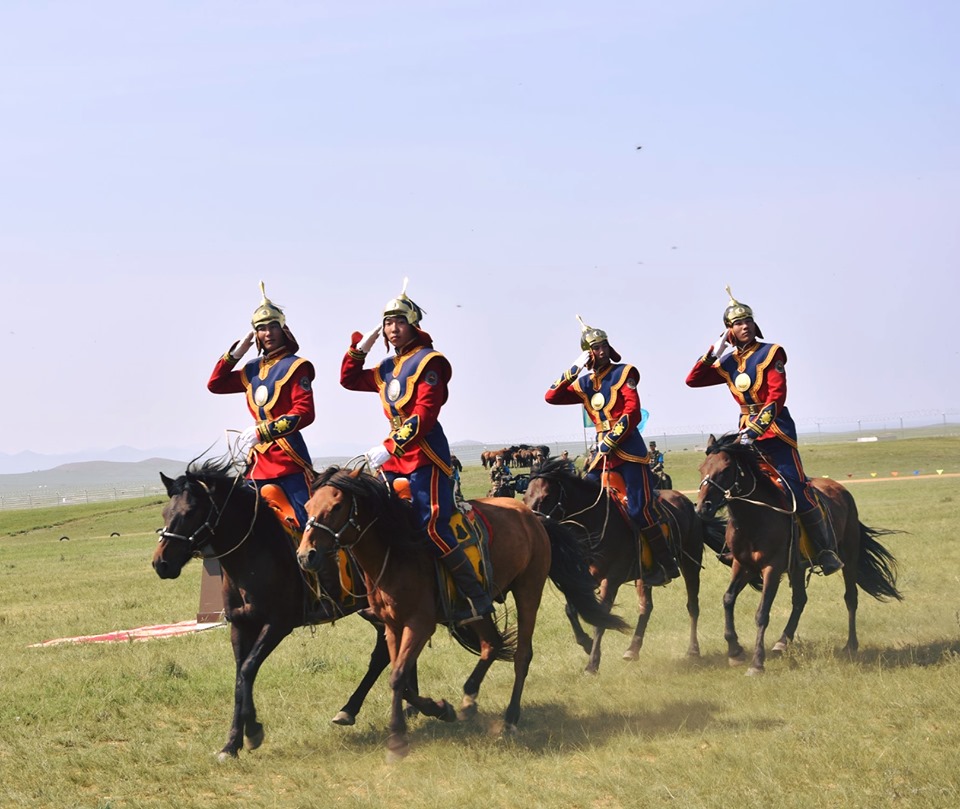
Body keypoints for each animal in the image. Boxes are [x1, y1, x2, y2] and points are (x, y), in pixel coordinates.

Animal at [152, 460, 400, 756]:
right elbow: (240, 678)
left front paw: (253, 731)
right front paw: (232, 743)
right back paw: (365, 709)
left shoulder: (278, 625)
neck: (254, 553)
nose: (161, 563)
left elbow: (248, 670)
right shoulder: (240, 625)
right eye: (165, 512)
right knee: (386, 649)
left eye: (190, 512)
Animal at [300, 464, 632, 760]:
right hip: (478, 606)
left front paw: (397, 740)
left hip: (528, 589)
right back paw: (469, 698)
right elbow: (401, 680)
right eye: (307, 505)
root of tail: (533, 517)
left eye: (337, 506)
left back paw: (510, 718)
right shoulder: (393, 626)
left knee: (522, 655)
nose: (306, 556)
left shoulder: (419, 625)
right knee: (491, 645)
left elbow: (397, 677)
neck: (396, 553)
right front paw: (438, 709)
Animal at [524, 458, 728, 672]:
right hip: (645, 575)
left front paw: (592, 663)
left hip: (690, 563)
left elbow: (600, 619)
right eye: (525, 497)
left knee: (692, 606)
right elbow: (571, 610)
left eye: (546, 496)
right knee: (646, 607)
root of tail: (691, 506)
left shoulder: (611, 580)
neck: (595, 523)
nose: (534, 526)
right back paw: (633, 649)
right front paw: (586, 644)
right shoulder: (583, 579)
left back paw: (693, 649)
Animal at [692, 436, 904, 676]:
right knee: (800, 600)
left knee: (850, 598)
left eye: (726, 469)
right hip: (798, 567)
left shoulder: (772, 568)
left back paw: (850, 645)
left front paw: (757, 663)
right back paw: (782, 642)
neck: (755, 517)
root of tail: (843, 491)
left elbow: (762, 613)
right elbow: (728, 599)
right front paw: (735, 651)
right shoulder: (742, 565)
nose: (703, 507)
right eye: (701, 469)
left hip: (848, 558)